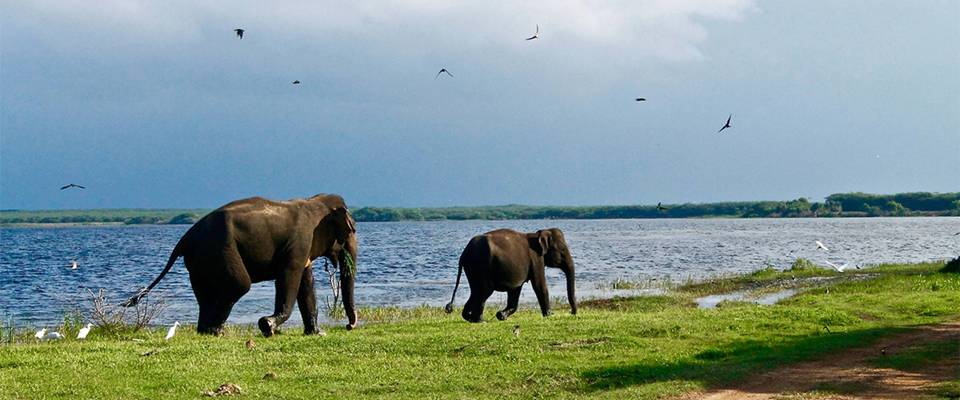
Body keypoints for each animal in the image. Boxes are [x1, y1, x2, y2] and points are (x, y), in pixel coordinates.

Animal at [122, 192, 358, 336]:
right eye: (351, 230)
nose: (349, 326)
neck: (314, 201)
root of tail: (185, 238)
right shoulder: (299, 244)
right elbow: (289, 278)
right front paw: (267, 326)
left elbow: (306, 284)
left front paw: (317, 333)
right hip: (220, 250)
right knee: (239, 285)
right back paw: (216, 331)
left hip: (199, 262)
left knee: (205, 293)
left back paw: (206, 331)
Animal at [444, 228, 576, 322]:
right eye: (562, 250)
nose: (572, 313)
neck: (538, 234)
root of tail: (464, 253)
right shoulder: (536, 259)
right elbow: (539, 285)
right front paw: (550, 315)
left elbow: (515, 289)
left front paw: (501, 315)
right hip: (481, 266)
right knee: (484, 291)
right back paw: (479, 320)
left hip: (473, 269)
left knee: (476, 291)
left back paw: (469, 318)